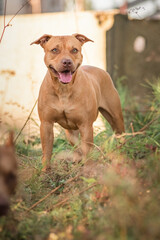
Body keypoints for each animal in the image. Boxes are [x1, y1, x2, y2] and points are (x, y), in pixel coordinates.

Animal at [30, 33, 124, 171]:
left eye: (74, 50)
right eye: (54, 50)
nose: (67, 62)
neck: (63, 90)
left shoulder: (86, 125)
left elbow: (87, 148)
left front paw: (89, 168)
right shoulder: (46, 124)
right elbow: (47, 150)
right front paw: (44, 171)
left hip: (116, 118)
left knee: (120, 135)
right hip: (70, 129)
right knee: (75, 142)